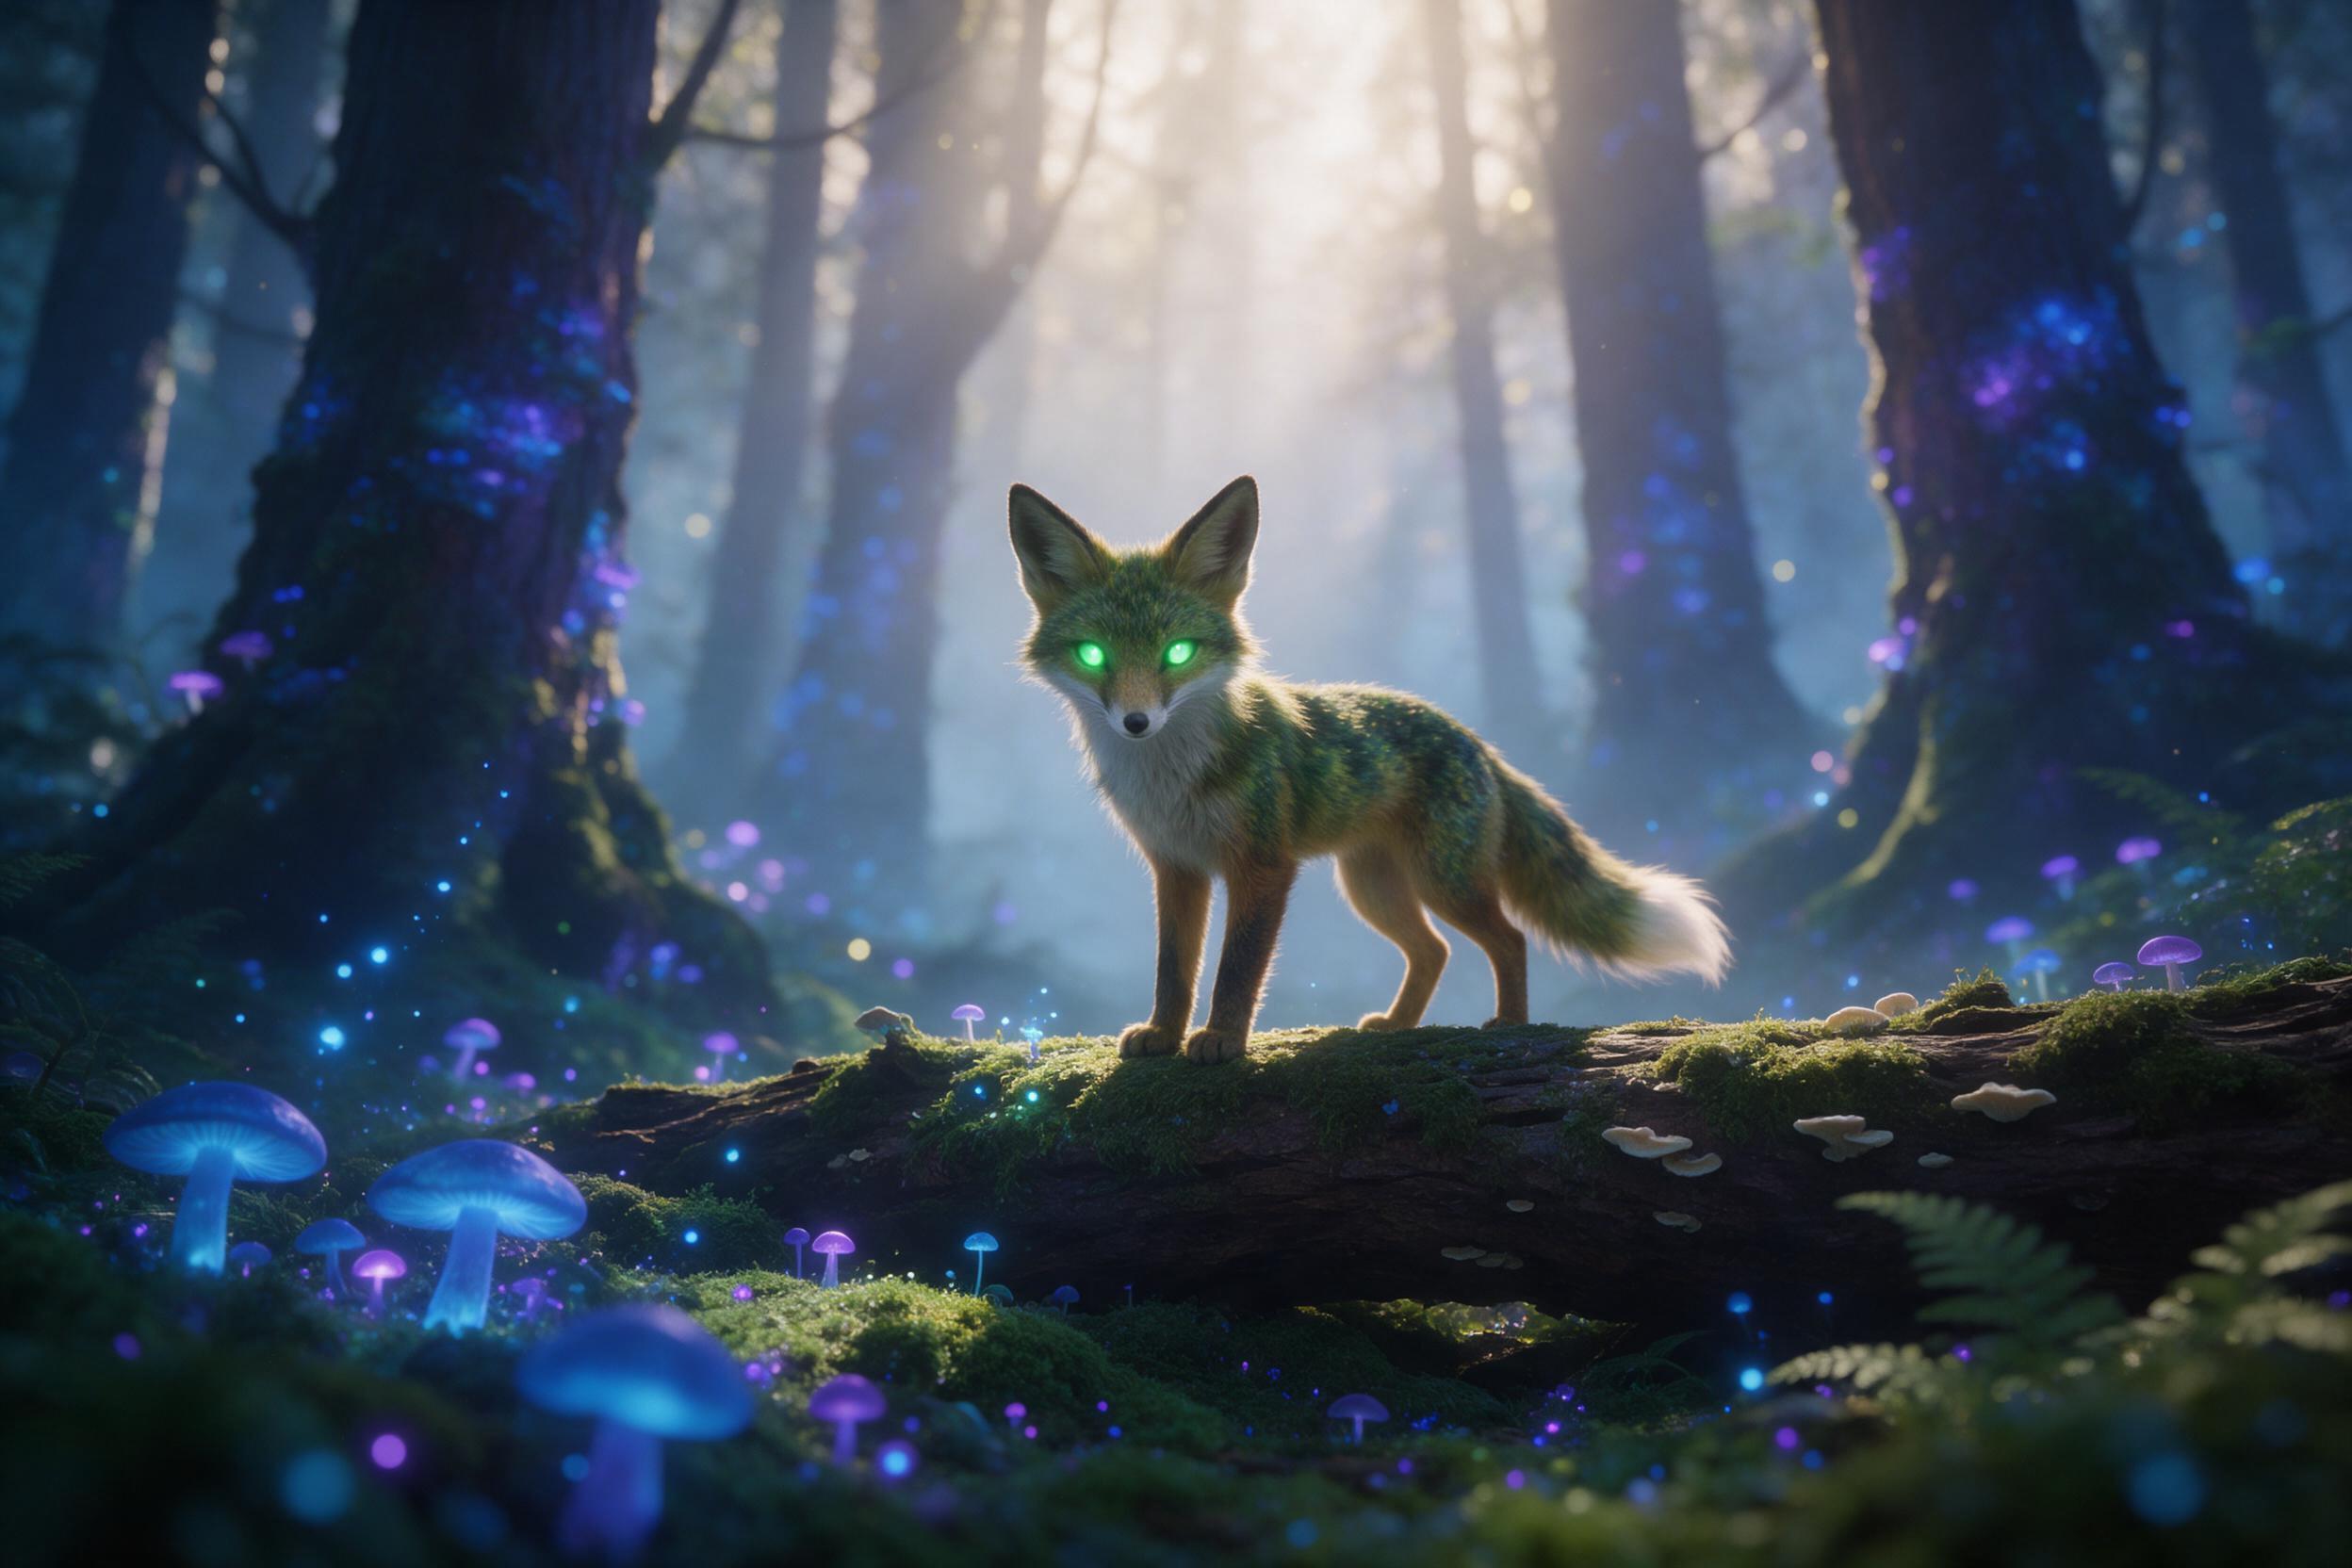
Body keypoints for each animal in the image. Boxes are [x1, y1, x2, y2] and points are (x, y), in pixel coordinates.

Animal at [1009, 474, 1731, 1064]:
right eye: (1094, 655)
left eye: (1178, 653)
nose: (1136, 722)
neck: (1169, 778)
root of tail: (1476, 740)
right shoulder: (1177, 868)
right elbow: (1173, 968)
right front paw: (1163, 1033)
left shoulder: (1263, 867)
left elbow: (1237, 970)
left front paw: (1221, 1039)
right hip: (1373, 888)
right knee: (1435, 950)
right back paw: (1400, 1024)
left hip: (1443, 882)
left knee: (1509, 939)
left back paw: (1512, 1024)